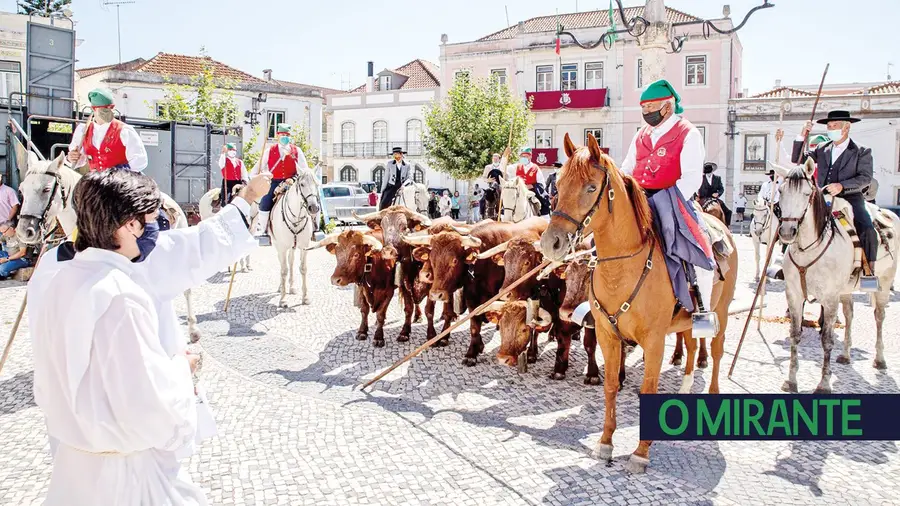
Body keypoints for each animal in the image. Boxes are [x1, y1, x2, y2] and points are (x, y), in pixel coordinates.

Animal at [270, 168, 320, 306]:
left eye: (317, 184)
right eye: (302, 184)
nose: (314, 208)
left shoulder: (304, 247)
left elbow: (302, 268)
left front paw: (305, 297)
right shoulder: (282, 248)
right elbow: (283, 271)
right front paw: (283, 300)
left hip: (292, 247)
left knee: (291, 262)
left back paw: (291, 287)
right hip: (278, 246)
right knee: (282, 264)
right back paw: (281, 287)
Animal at [536, 134, 736, 474]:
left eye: (591, 187)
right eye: (558, 185)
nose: (552, 243)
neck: (623, 268)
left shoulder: (653, 341)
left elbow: (648, 389)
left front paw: (641, 452)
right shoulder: (608, 335)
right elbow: (610, 385)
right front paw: (605, 443)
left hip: (719, 313)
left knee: (717, 350)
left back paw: (711, 396)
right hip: (686, 321)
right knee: (691, 345)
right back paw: (685, 388)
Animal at [772, 157, 900, 392]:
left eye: (806, 193)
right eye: (782, 190)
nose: (786, 232)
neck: (809, 248)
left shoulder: (830, 299)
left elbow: (827, 339)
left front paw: (824, 383)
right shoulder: (794, 295)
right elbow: (795, 335)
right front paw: (791, 380)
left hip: (885, 282)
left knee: (879, 316)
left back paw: (880, 359)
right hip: (846, 290)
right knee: (849, 314)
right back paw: (846, 355)